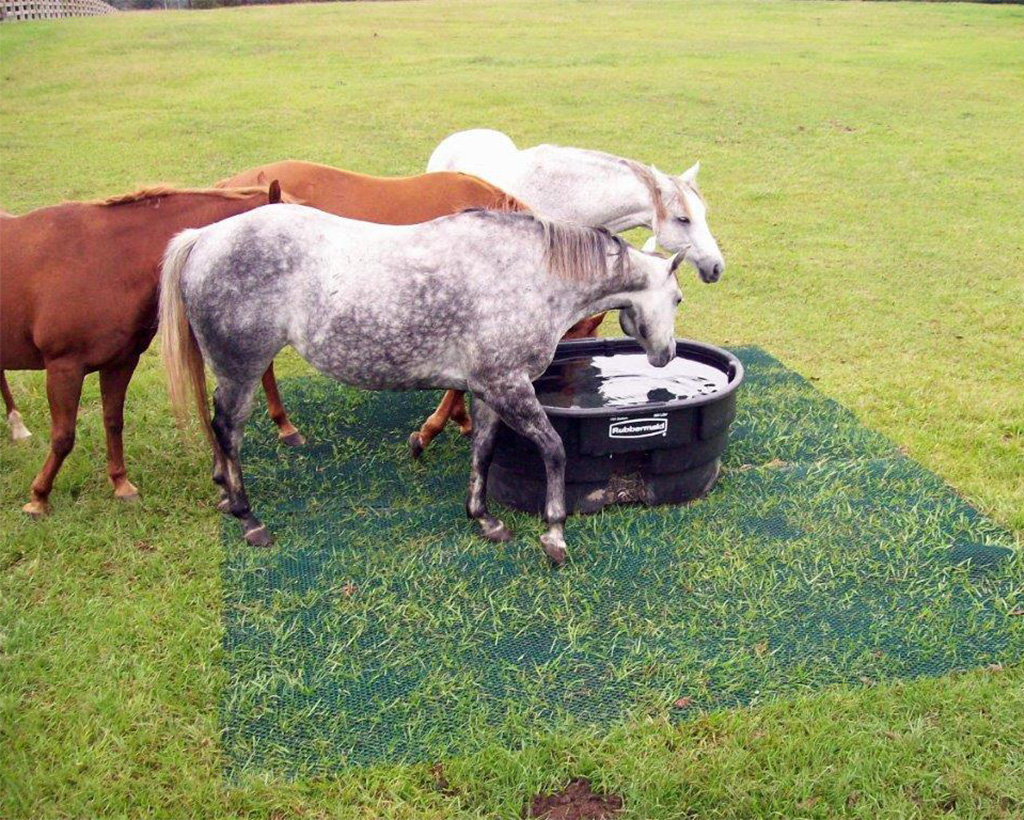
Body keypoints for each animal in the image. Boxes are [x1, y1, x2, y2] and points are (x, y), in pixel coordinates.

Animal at [0, 183, 290, 516]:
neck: (105, 259)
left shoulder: (120, 362)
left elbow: (113, 421)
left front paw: (120, 484)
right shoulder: (64, 367)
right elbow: (63, 436)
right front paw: (39, 496)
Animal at [159, 206, 685, 564]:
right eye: (678, 298)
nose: (666, 354)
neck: (532, 275)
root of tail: (204, 237)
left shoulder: (488, 390)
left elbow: (483, 451)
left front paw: (484, 518)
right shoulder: (509, 386)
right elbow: (554, 450)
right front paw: (554, 533)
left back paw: (225, 491)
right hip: (242, 370)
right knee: (228, 431)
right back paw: (248, 517)